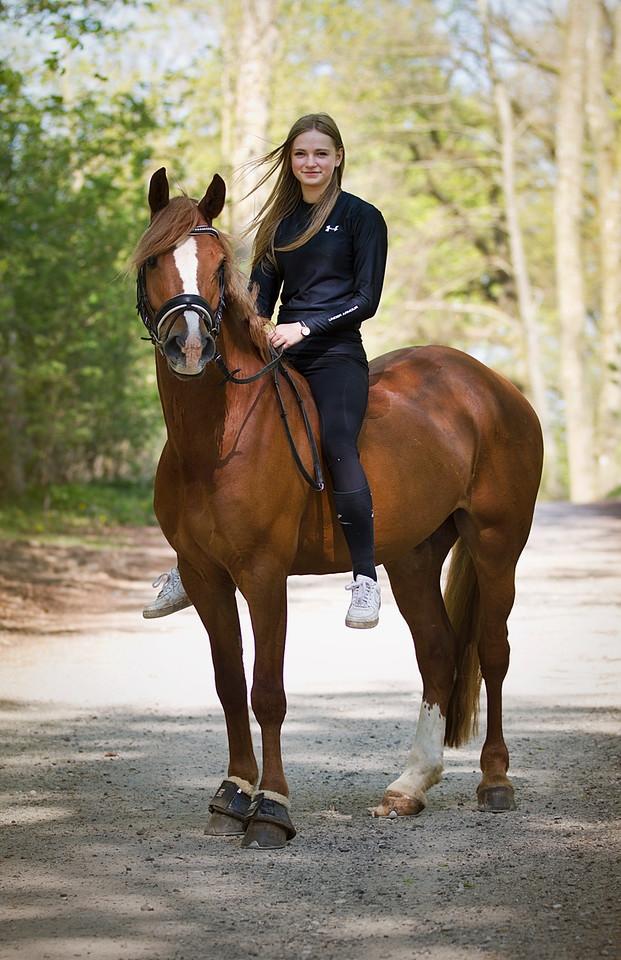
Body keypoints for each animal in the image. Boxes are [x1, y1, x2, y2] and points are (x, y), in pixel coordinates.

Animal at [132, 169, 544, 852]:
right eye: (154, 260)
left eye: (219, 268)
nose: (188, 345)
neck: (215, 441)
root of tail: (492, 385)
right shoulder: (205, 575)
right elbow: (228, 683)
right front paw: (231, 795)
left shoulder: (264, 575)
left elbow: (267, 691)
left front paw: (270, 809)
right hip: (411, 557)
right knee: (437, 652)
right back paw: (410, 785)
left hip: (496, 544)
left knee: (492, 651)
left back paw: (495, 782)